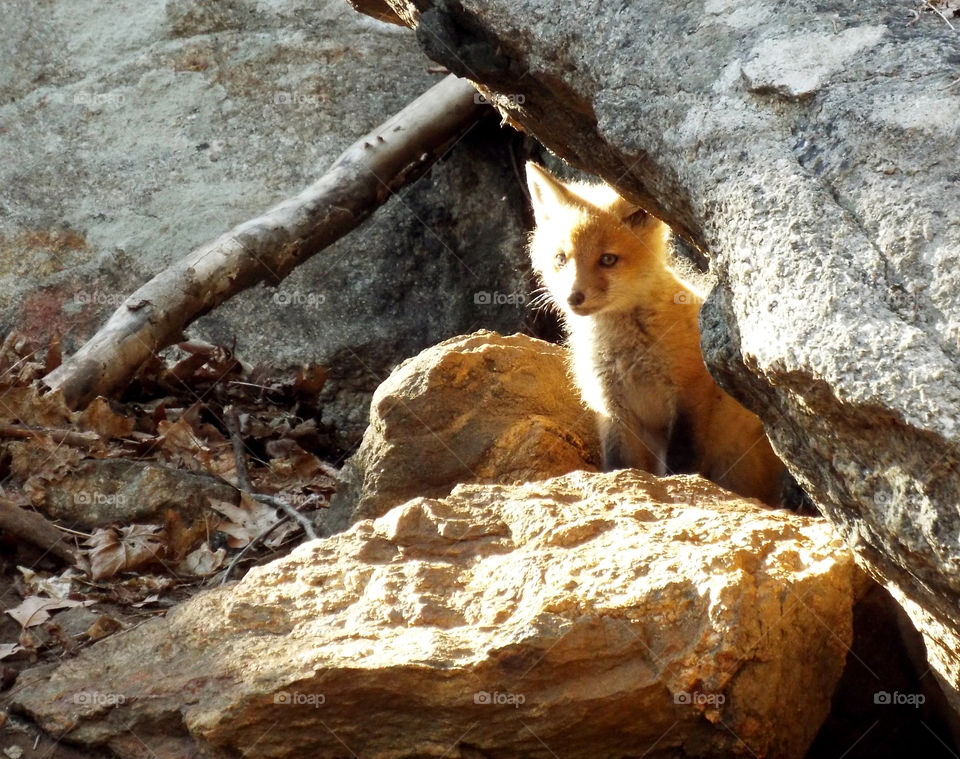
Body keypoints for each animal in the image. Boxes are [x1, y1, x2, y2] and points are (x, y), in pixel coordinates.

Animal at [525, 161, 785, 506]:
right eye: (560, 259)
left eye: (608, 259)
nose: (572, 297)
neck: (627, 351)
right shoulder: (612, 406)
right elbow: (619, 464)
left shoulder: (690, 394)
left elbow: (682, 461)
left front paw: (683, 488)